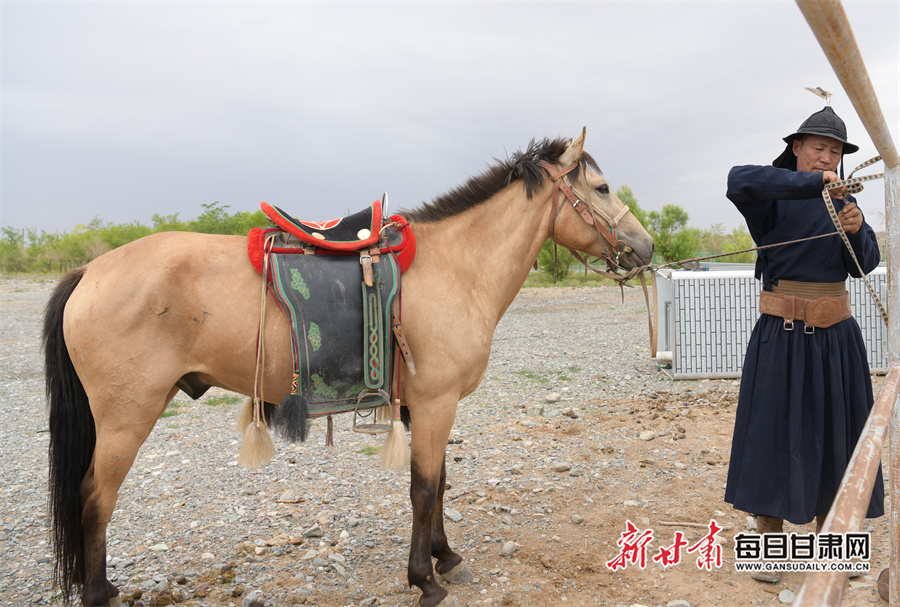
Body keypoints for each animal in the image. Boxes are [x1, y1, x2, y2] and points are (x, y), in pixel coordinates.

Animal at [44, 129, 654, 607]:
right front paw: (425, 579)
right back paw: (98, 594)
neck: (458, 267)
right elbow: (424, 488)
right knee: (94, 499)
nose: (645, 247)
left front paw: (446, 556)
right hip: (127, 416)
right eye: (601, 188)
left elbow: (440, 481)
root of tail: (89, 271)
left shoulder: (424, 406)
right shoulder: (435, 403)